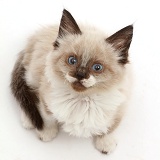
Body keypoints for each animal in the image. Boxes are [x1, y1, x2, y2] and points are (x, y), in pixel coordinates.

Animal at [10, 8, 133, 154]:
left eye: (97, 67)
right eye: (72, 60)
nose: (80, 75)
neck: (82, 100)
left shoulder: (120, 107)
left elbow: (111, 127)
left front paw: (105, 144)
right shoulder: (45, 97)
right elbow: (48, 117)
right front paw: (47, 133)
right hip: (33, 74)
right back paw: (28, 121)